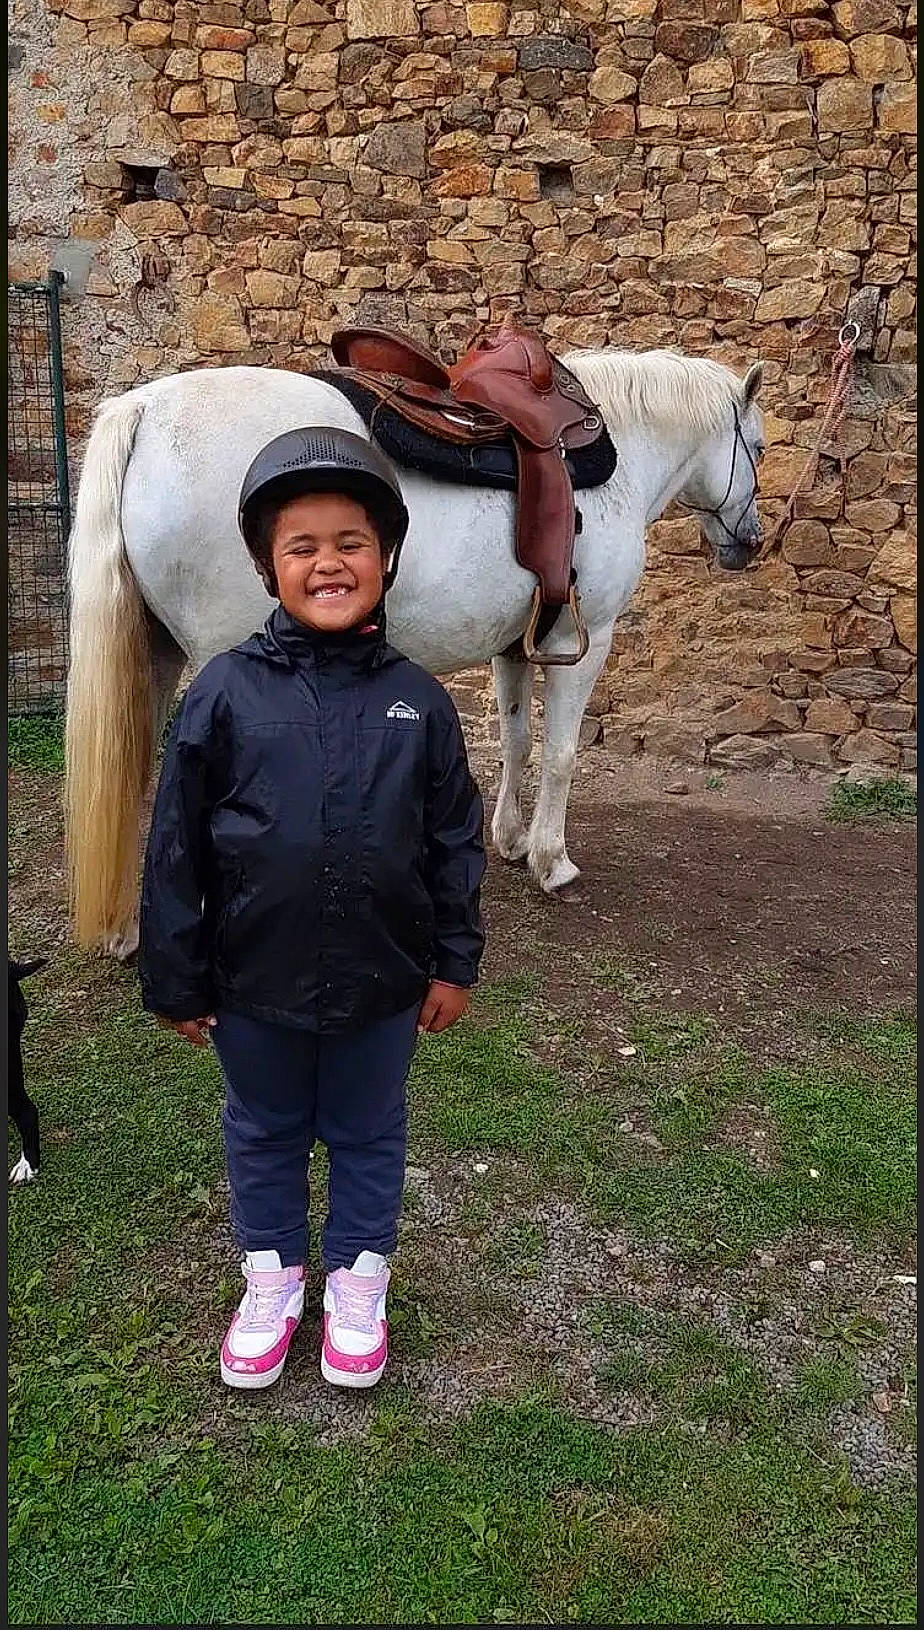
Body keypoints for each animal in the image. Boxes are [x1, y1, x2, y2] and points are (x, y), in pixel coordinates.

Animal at [64, 345, 765, 956]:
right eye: (757, 447)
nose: (751, 542)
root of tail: (145, 408)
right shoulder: (582, 640)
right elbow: (562, 754)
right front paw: (552, 861)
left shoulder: (515, 645)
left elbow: (515, 740)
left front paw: (510, 840)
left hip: (156, 659)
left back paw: (127, 929)